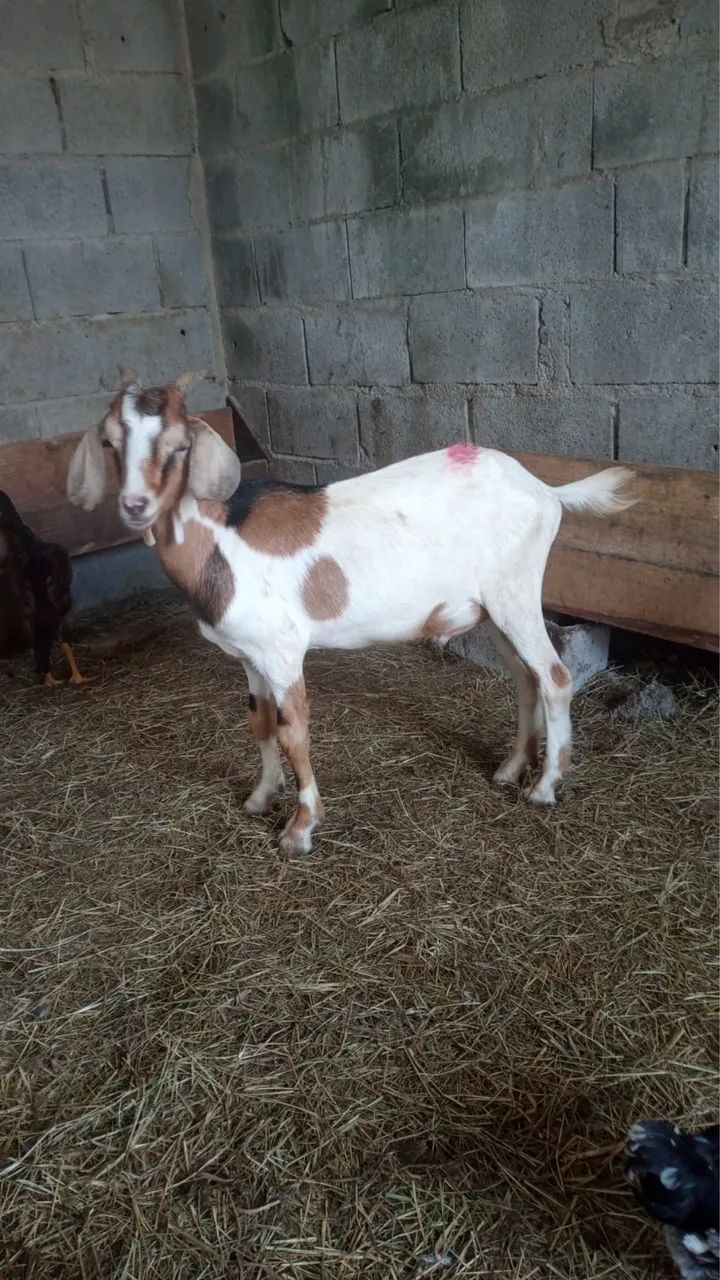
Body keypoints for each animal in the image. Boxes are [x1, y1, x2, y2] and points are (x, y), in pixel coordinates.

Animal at [67, 371, 635, 855]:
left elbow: (293, 733)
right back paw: (510, 768)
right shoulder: (249, 655)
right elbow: (259, 721)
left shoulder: (282, 651)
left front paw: (300, 829)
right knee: (524, 677)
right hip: (493, 607)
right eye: (110, 443)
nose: (136, 506)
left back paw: (545, 786)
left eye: (181, 444)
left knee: (555, 677)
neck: (221, 542)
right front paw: (260, 797)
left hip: (514, 591)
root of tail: (543, 489)